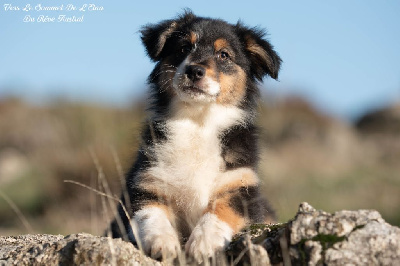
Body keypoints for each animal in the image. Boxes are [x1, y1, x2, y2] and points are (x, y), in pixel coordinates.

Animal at [109, 10, 282, 264]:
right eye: (183, 48)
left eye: (223, 55)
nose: (194, 71)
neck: (198, 123)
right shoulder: (145, 183)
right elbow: (151, 213)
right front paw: (163, 243)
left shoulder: (241, 187)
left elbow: (220, 210)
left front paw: (203, 244)